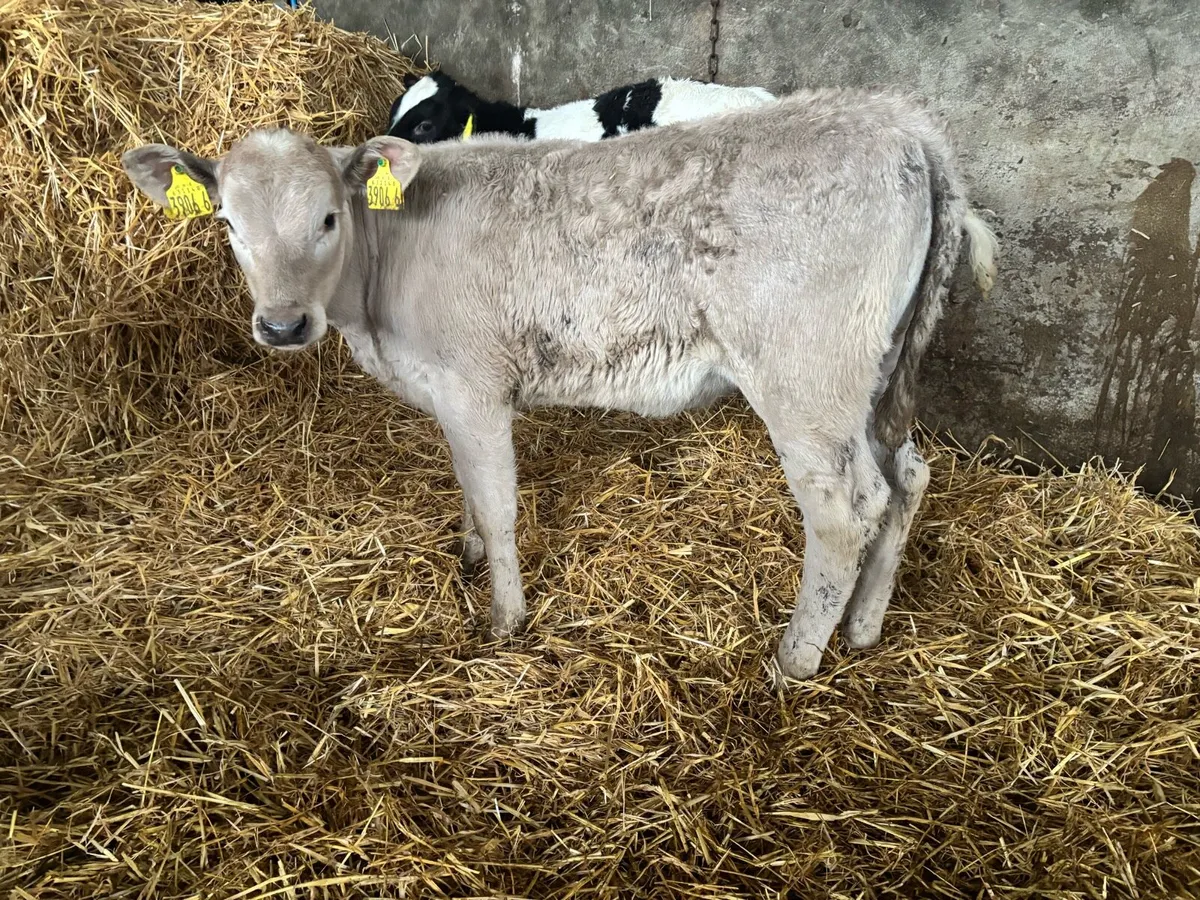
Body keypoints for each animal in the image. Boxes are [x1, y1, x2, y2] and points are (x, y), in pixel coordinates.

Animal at [123, 87, 999, 681]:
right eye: (228, 225)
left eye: (328, 219)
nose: (281, 325)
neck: (383, 268)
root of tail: (900, 121)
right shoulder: (450, 396)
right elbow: (467, 487)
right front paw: (468, 550)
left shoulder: (474, 385)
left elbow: (501, 505)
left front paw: (504, 619)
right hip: (875, 375)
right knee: (908, 476)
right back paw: (864, 627)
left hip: (807, 381)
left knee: (845, 511)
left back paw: (796, 657)